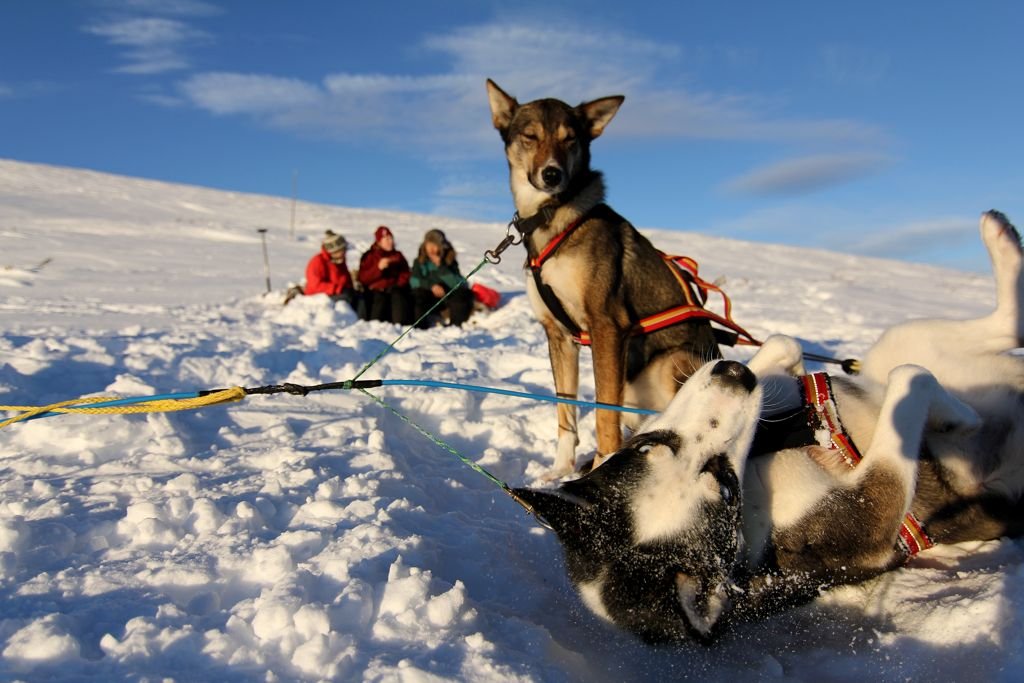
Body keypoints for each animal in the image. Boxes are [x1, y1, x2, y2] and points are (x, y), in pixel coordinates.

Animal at [487, 78, 720, 475]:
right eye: (530, 136)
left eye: (570, 139)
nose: (552, 174)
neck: (551, 219)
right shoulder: (558, 335)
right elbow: (566, 413)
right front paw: (560, 471)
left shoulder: (607, 325)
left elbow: (602, 415)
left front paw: (601, 464)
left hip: (673, 362)